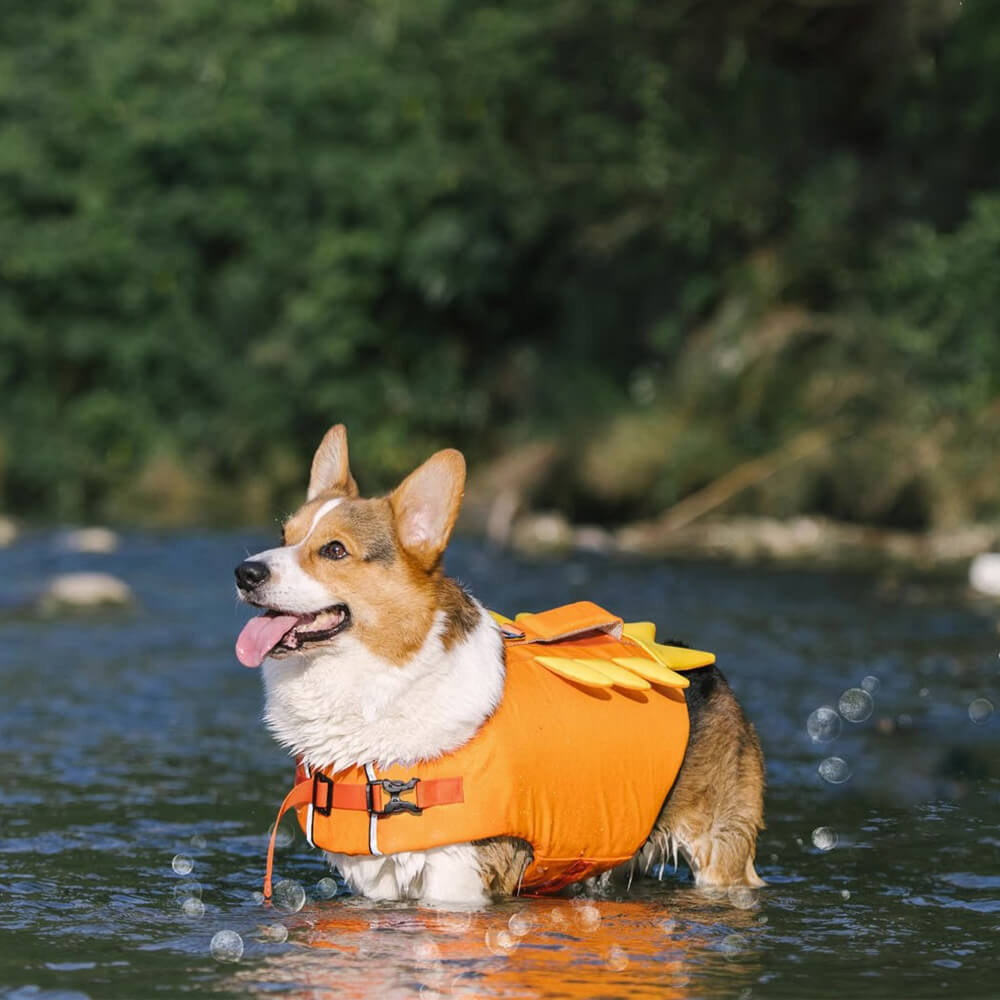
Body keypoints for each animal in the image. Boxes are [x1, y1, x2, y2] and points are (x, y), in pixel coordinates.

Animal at [234, 426, 764, 904]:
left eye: (334, 550)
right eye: (283, 535)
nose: (245, 572)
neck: (380, 685)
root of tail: (700, 667)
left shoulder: (456, 876)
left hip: (720, 854)